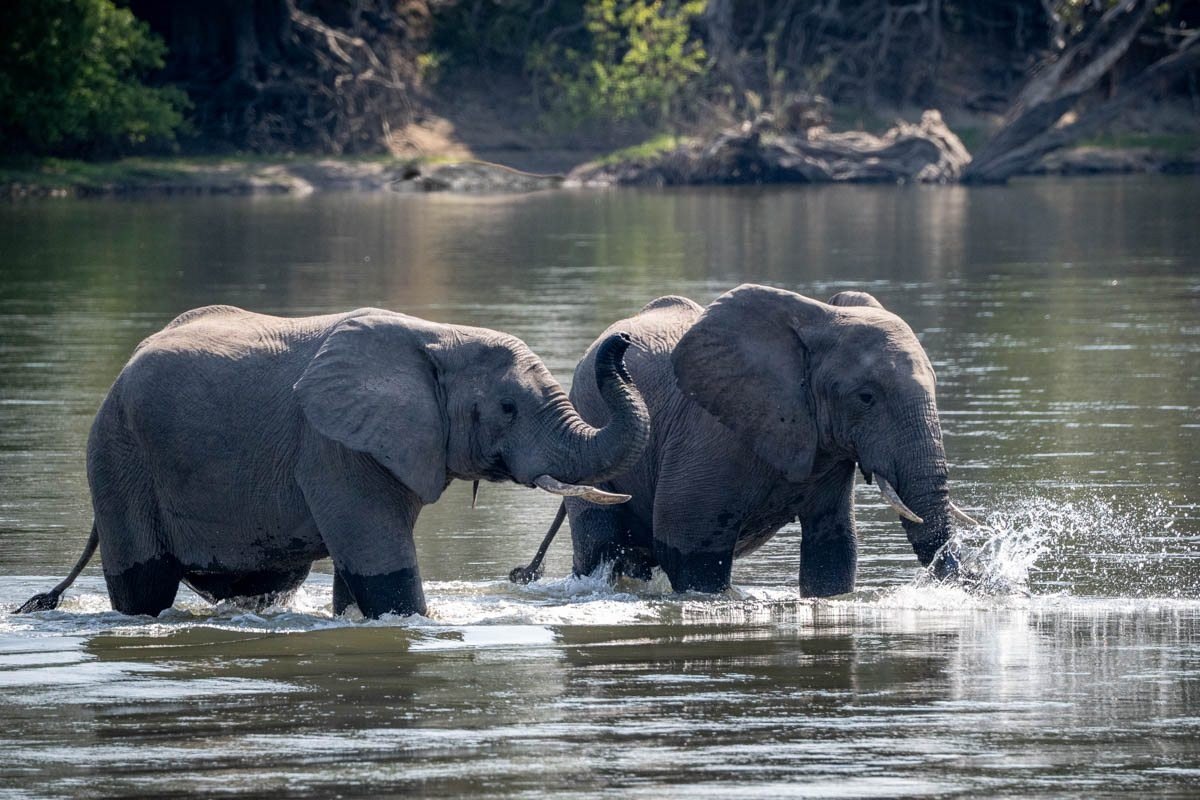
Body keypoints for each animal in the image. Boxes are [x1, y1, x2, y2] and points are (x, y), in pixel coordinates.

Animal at [17, 304, 650, 618]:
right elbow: (383, 569)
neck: (440, 335)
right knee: (144, 587)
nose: (620, 343)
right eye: (507, 408)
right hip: (117, 456)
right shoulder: (336, 447)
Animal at [511, 284, 981, 596]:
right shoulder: (710, 434)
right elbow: (691, 551)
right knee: (602, 550)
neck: (816, 322)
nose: (974, 581)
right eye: (866, 397)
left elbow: (834, 550)